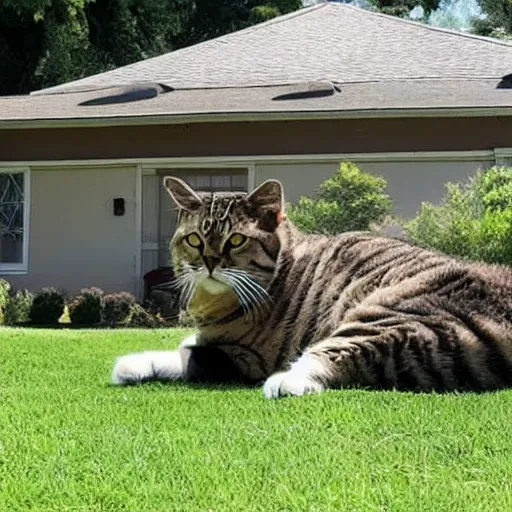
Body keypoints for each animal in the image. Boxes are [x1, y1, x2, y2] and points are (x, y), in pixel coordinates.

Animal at [111, 178, 512, 398]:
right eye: (194, 240)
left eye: (236, 240)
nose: (209, 262)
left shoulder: (248, 356)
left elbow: (191, 356)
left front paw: (134, 363)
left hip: (388, 312)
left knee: (334, 356)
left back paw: (286, 381)